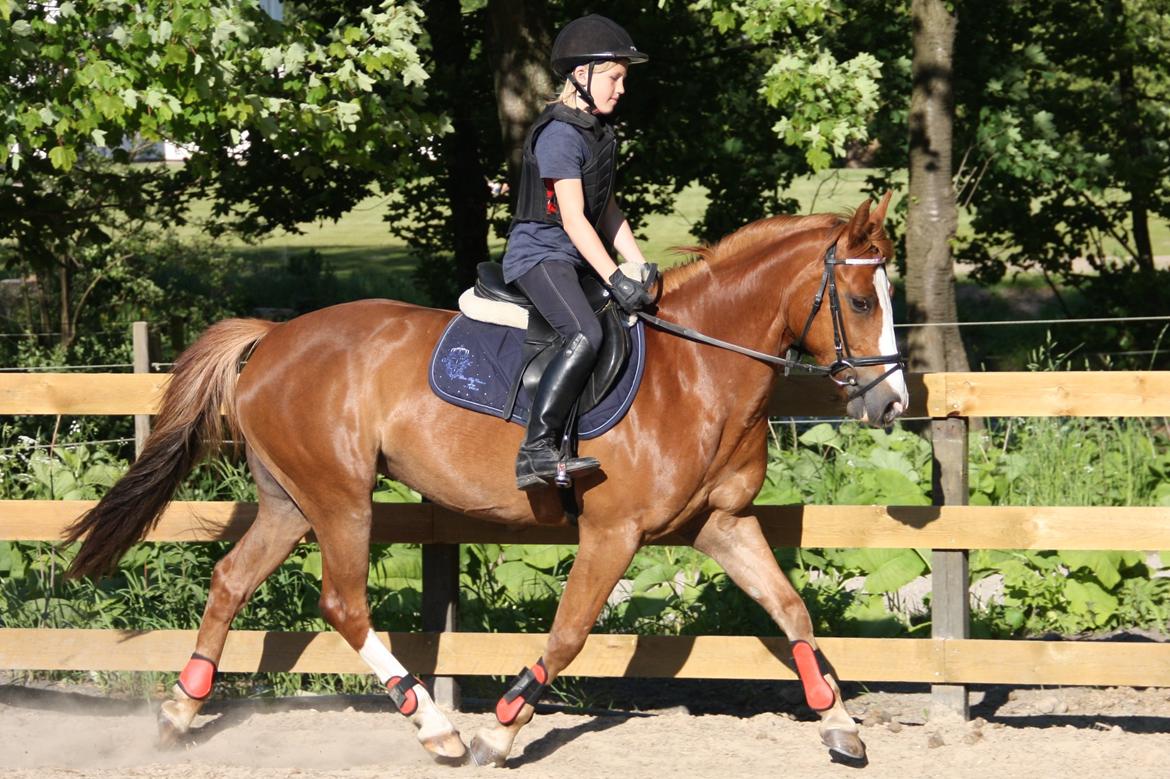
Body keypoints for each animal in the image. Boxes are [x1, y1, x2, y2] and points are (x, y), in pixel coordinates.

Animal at [66, 194, 903, 762]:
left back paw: (180, 710)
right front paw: (502, 730)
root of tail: (274, 337)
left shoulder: (720, 524)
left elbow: (792, 609)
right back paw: (437, 729)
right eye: (861, 299)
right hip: (340, 498)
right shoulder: (614, 531)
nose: (890, 401)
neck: (698, 370)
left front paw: (838, 723)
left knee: (232, 579)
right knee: (343, 603)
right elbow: (568, 633)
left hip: (289, 502)